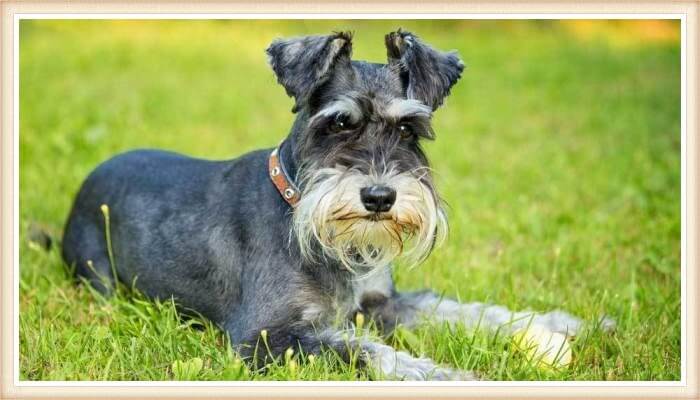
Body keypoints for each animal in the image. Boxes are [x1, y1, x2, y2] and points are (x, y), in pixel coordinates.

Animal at [60, 29, 608, 380]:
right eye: (339, 123)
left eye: (409, 128)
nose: (379, 197)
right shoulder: (265, 338)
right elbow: (371, 353)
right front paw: (452, 378)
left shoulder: (380, 303)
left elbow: (460, 309)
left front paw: (557, 325)